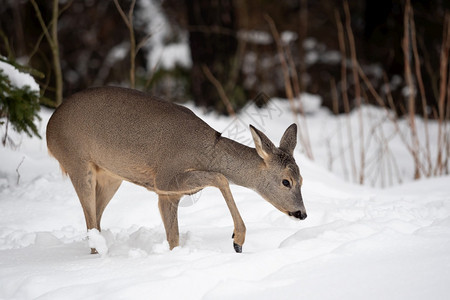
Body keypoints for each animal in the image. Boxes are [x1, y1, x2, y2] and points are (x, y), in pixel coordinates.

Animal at [46, 86, 306, 253]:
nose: (302, 213)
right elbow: (221, 178)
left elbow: (174, 237)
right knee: (90, 221)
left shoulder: (169, 195)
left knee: (96, 221)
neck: (206, 152)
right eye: (286, 181)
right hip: (77, 161)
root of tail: (49, 127)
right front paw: (237, 240)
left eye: (302, 179)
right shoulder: (165, 179)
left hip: (111, 176)